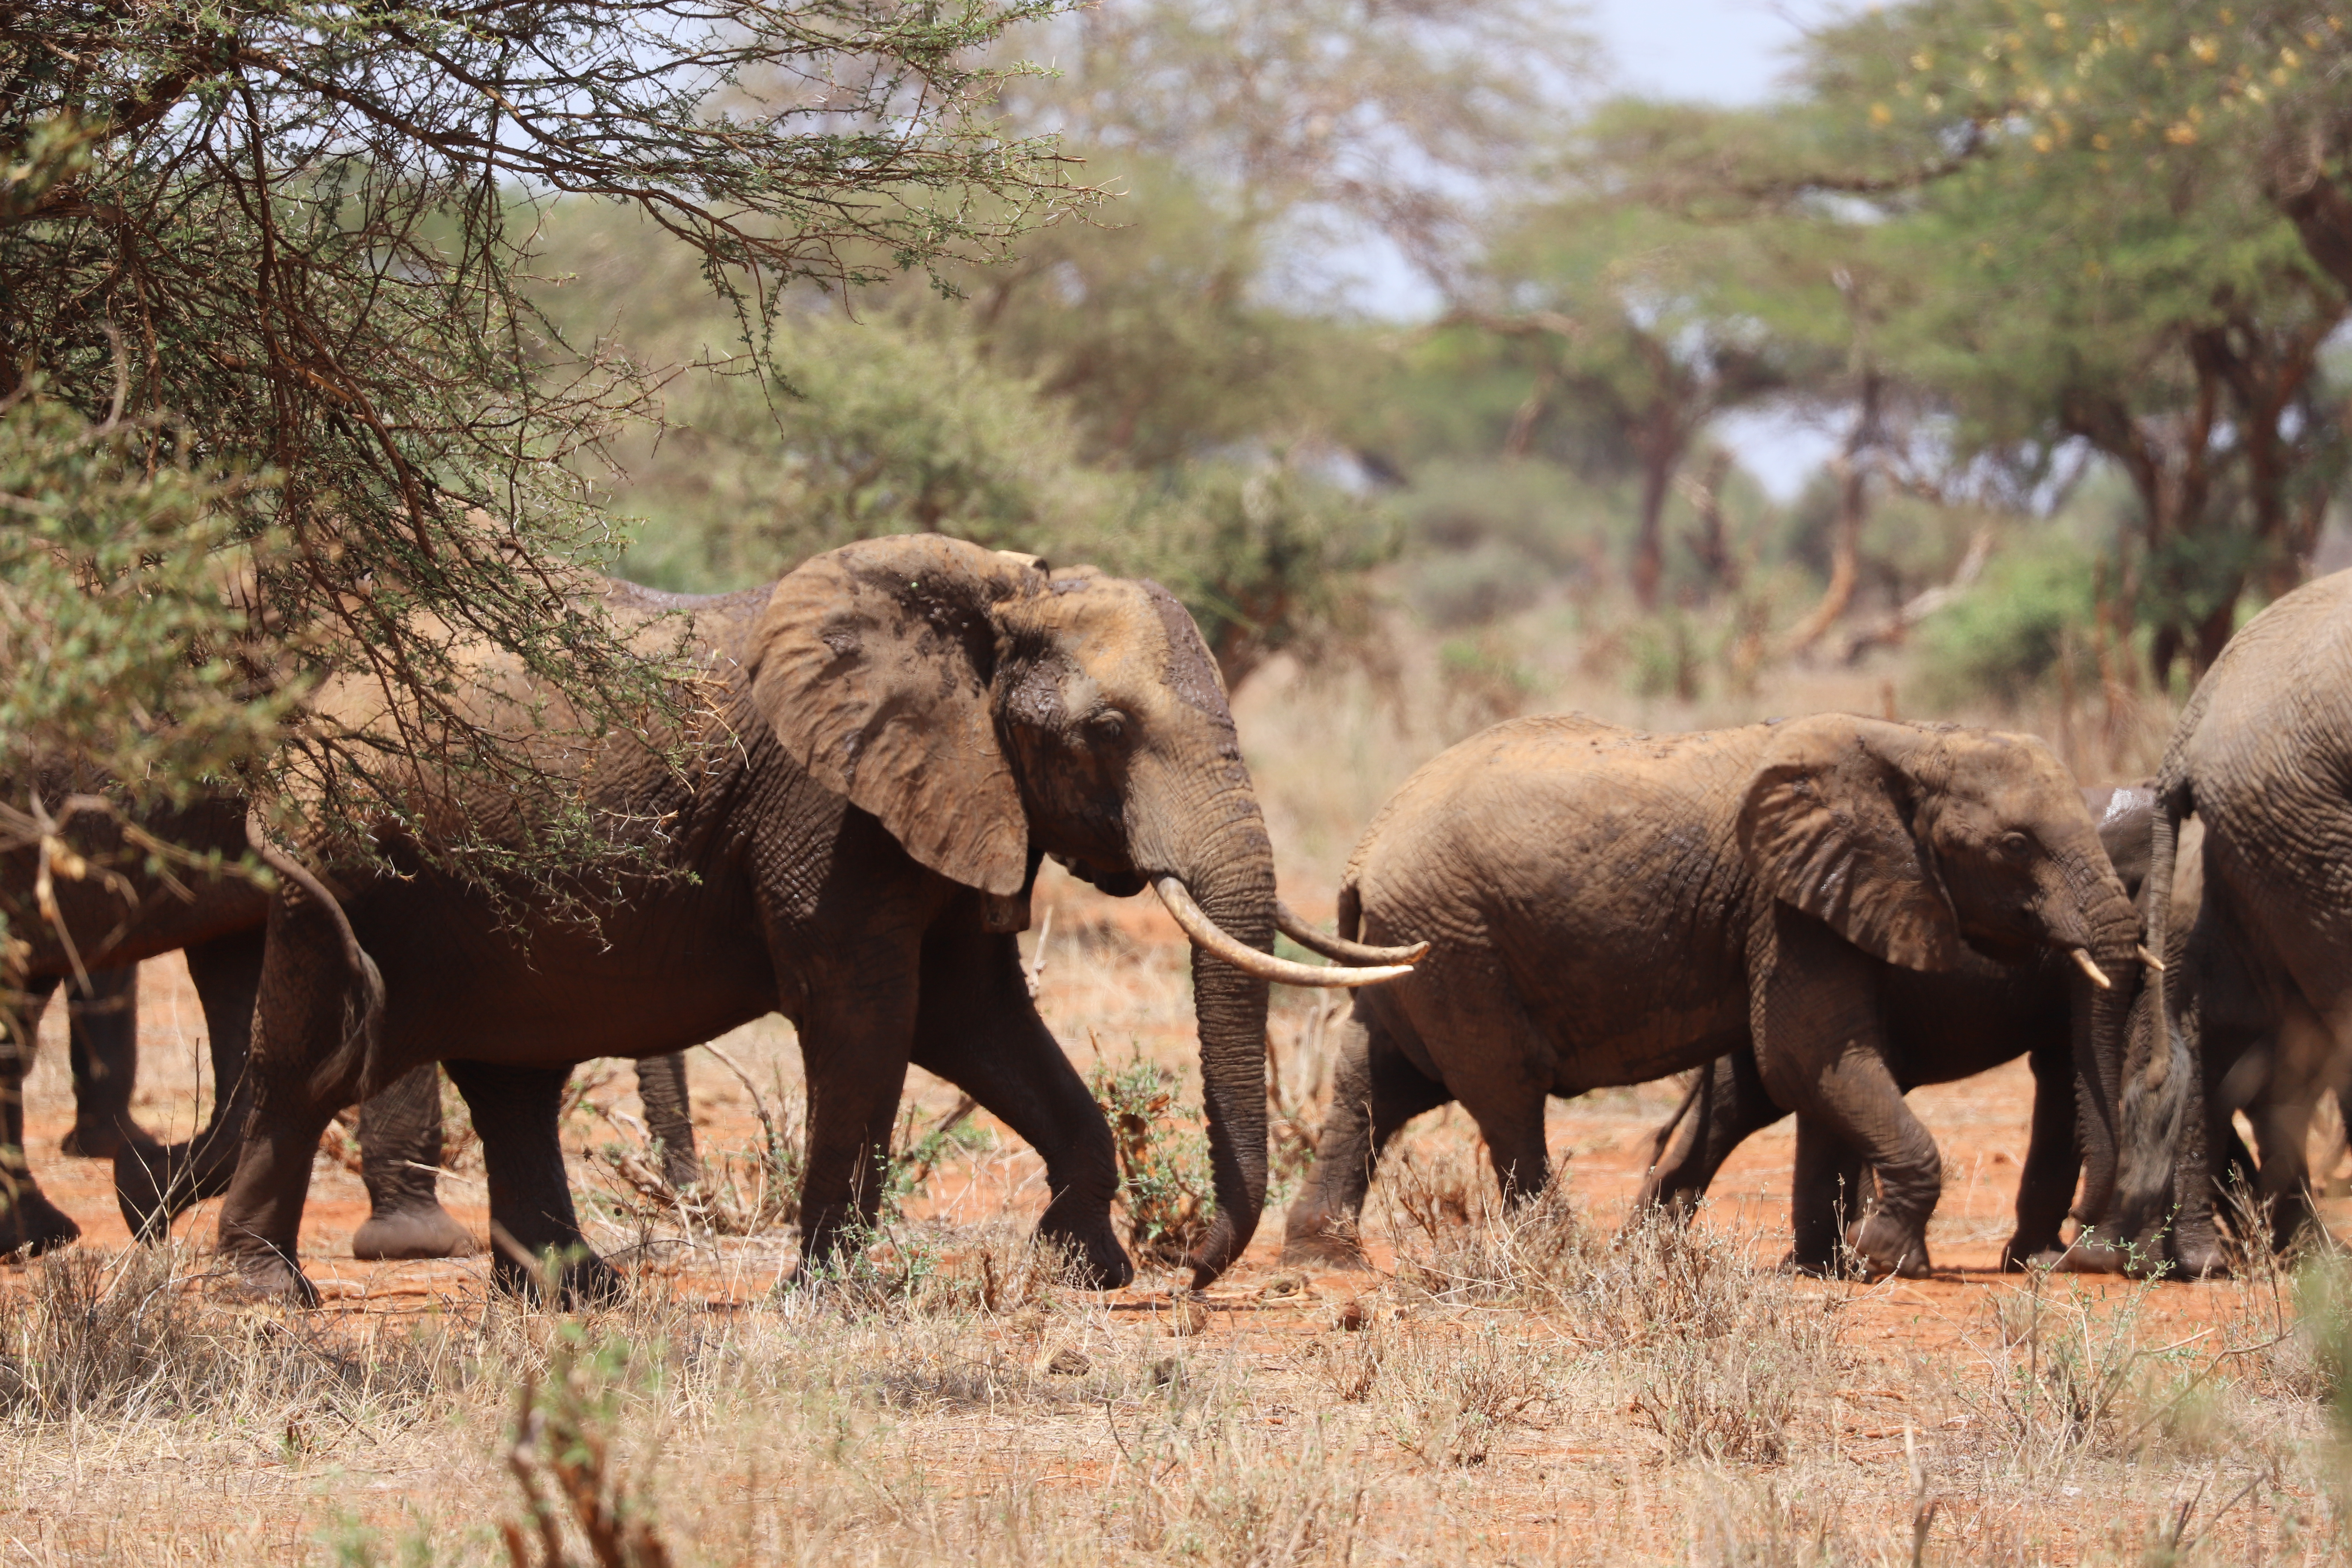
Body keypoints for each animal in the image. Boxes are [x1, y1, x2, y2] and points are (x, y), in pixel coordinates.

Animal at [207, 533, 1411, 1307]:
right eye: (1107, 732)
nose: (1189, 1273)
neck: (991, 607)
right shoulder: (827, 805)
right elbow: (866, 1017)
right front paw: (828, 1300)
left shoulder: (952, 792)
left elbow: (976, 1018)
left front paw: (1084, 1271)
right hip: (340, 852)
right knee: (305, 1060)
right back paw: (267, 1295)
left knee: (517, 1081)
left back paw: (574, 1297)